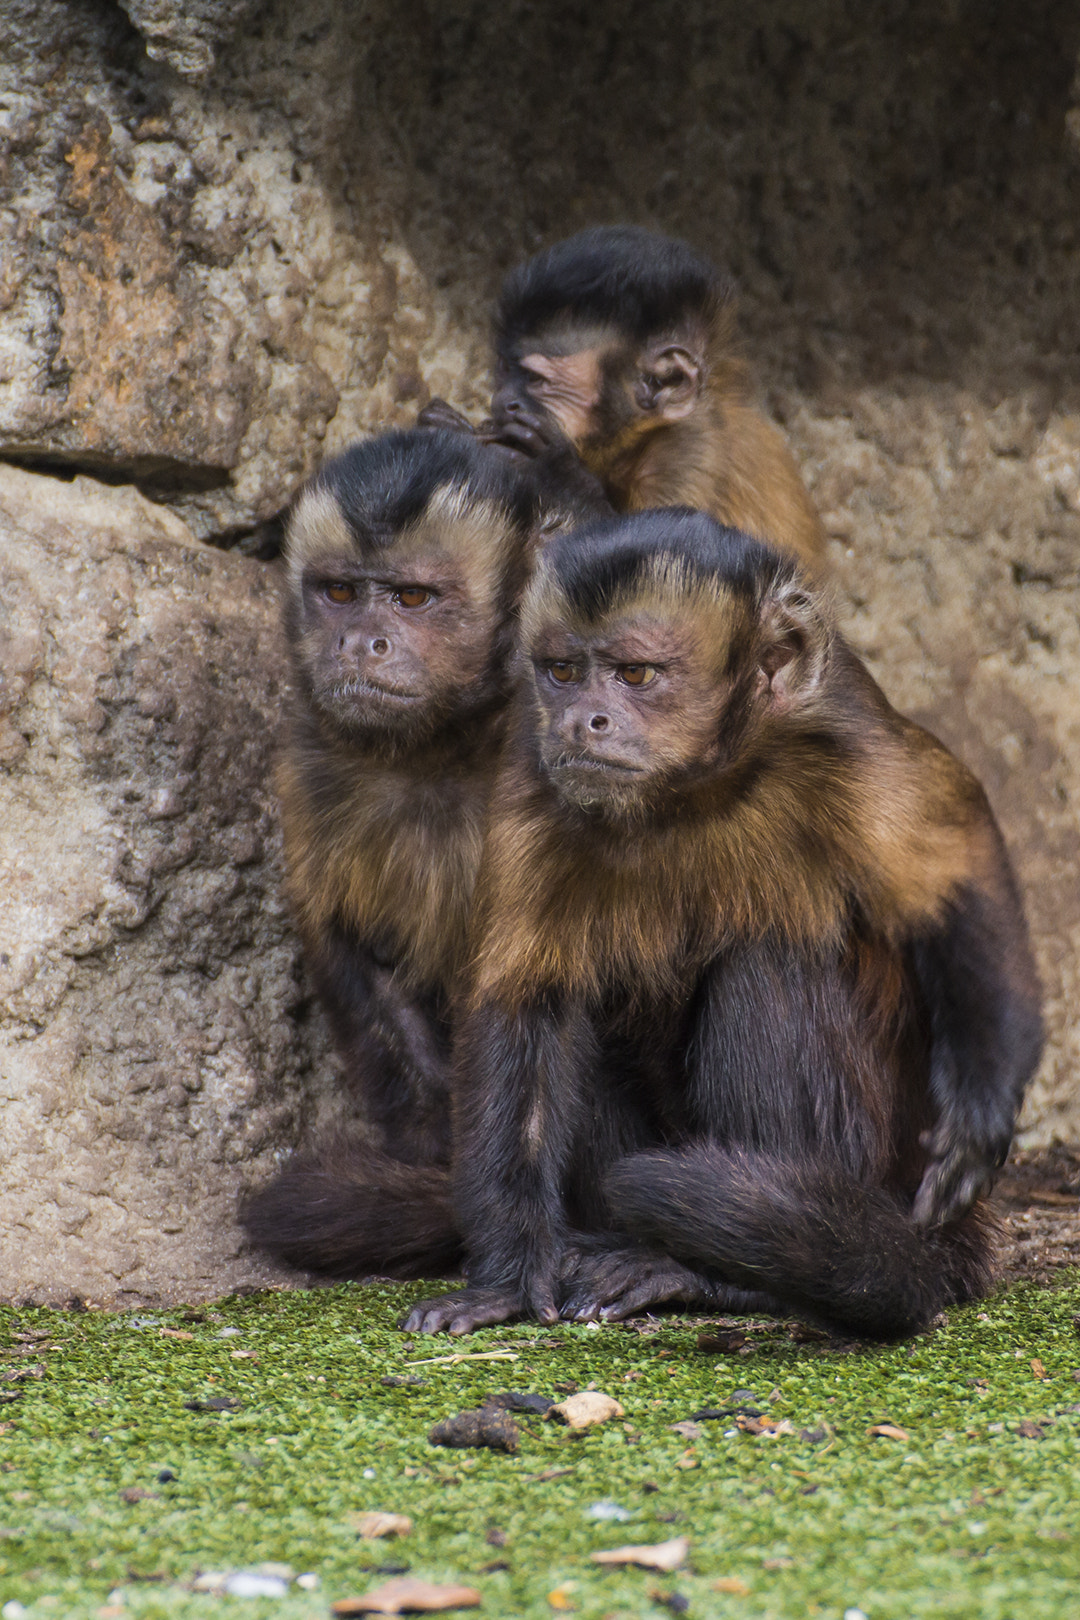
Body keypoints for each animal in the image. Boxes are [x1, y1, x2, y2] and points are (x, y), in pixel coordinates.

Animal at [243, 427, 589, 1278]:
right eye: (339, 593)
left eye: (410, 599)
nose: (361, 643)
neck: (442, 747)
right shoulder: (308, 763)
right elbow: (352, 949)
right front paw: (435, 1161)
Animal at [402, 509, 1042, 1339]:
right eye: (563, 672)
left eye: (637, 675)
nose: (580, 721)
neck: (697, 787)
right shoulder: (531, 765)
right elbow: (527, 1005)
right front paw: (507, 1279)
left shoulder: (846, 729)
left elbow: (958, 870)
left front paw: (981, 1110)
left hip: (885, 1166)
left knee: (773, 960)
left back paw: (727, 1274)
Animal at [485, 226, 827, 575]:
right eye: (504, 368)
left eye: (535, 379)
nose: (503, 401)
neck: (636, 443)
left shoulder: (684, 455)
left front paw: (559, 475)